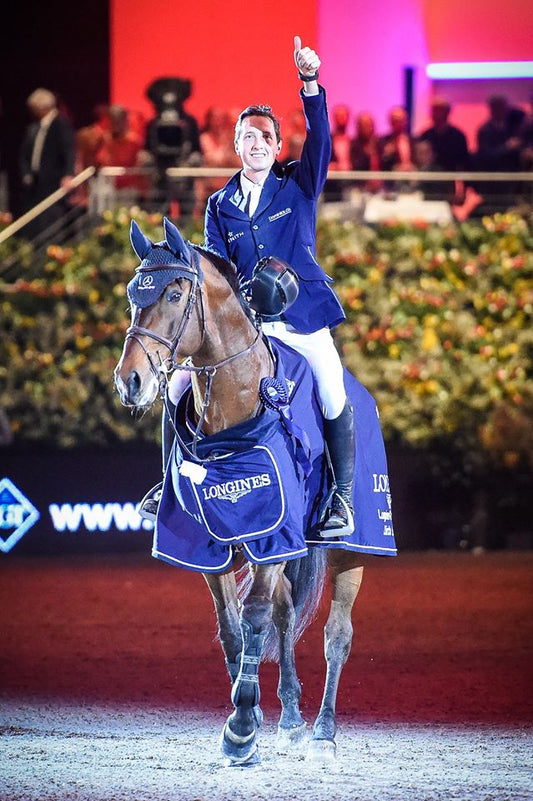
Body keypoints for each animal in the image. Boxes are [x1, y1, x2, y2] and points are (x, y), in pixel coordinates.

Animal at [113, 216, 394, 764]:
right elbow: (231, 628)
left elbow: (255, 617)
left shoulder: (271, 533)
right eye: (135, 294)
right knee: (287, 618)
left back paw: (324, 734)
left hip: (353, 549)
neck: (236, 406)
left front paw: (242, 727)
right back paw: (290, 718)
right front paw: (251, 716)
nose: (129, 381)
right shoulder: (210, 545)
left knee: (336, 635)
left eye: (175, 294)